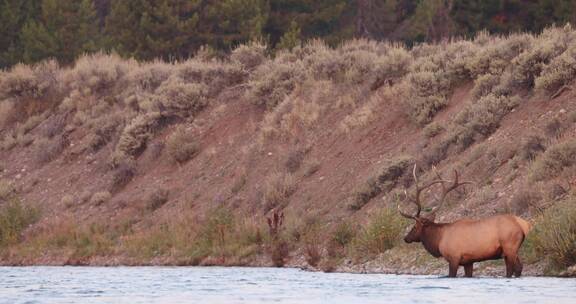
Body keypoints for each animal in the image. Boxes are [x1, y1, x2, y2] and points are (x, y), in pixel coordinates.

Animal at [398, 165, 528, 276]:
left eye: (414, 226)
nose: (406, 238)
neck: (439, 239)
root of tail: (524, 225)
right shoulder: (468, 262)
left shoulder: (453, 258)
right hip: (510, 251)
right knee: (518, 268)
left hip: (509, 247)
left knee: (513, 269)